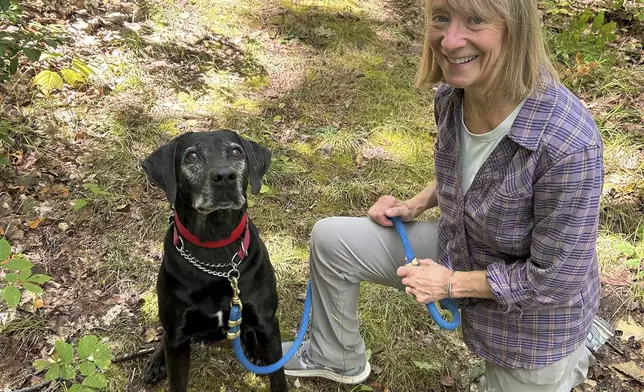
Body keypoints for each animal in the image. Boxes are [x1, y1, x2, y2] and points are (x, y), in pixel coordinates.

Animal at [143, 129, 290, 392]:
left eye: (236, 151)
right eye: (191, 156)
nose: (225, 177)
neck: (216, 248)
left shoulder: (267, 322)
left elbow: (278, 377)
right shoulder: (177, 338)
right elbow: (176, 379)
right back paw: (156, 362)